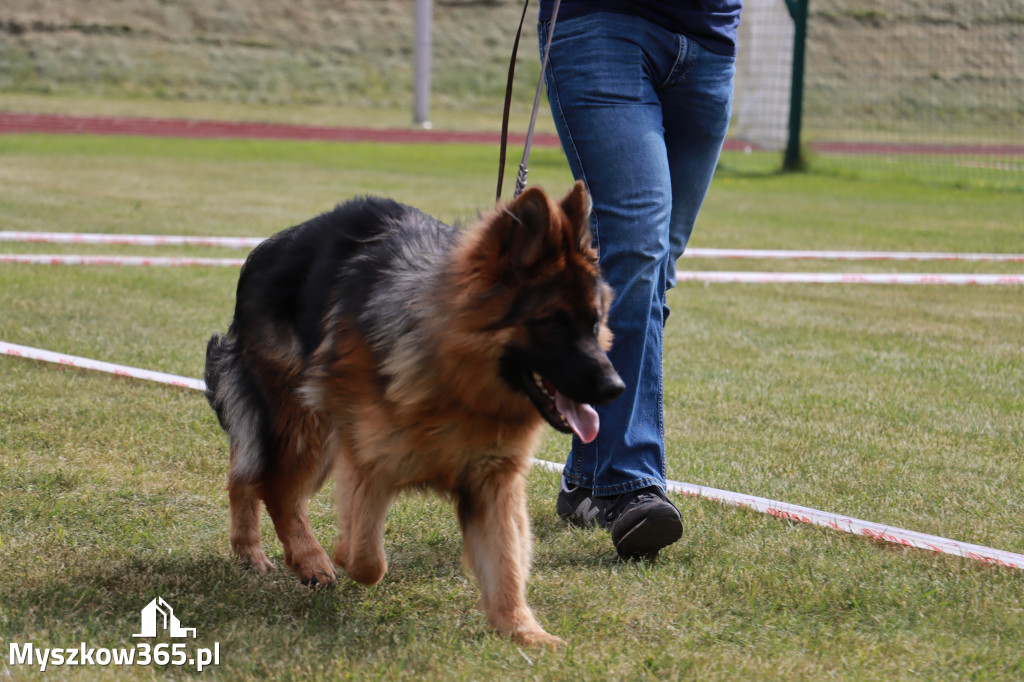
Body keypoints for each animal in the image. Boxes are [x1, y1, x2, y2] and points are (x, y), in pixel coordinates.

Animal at [202, 179, 618, 643]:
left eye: (595, 322)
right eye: (552, 324)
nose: (616, 388)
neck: (454, 377)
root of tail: (268, 248)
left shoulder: (494, 483)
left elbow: (506, 563)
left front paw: (523, 632)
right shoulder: (368, 462)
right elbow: (367, 558)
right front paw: (342, 554)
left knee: (246, 474)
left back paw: (250, 551)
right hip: (307, 425)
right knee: (272, 485)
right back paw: (305, 558)